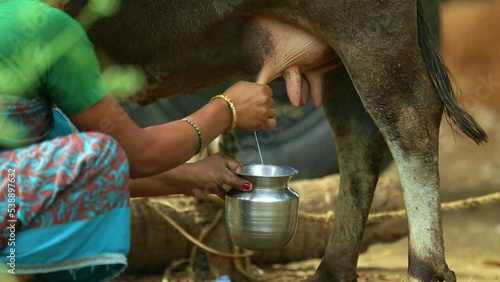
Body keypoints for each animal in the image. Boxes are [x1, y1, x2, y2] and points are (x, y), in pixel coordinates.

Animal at [64, 1, 486, 280]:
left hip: (366, 30)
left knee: (409, 119)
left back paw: (426, 268)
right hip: (335, 61)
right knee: (359, 136)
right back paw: (332, 269)